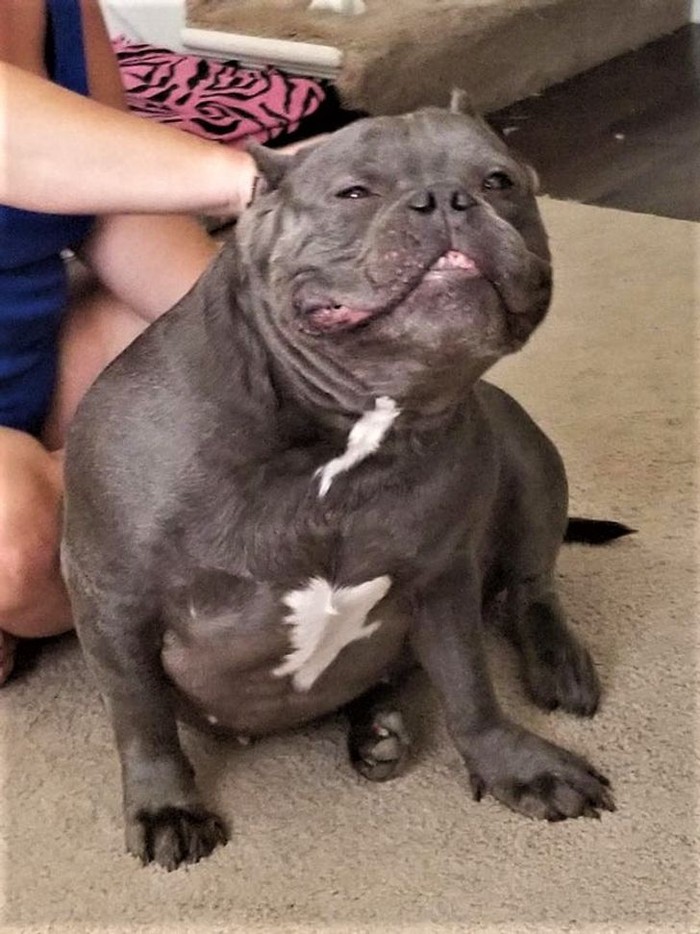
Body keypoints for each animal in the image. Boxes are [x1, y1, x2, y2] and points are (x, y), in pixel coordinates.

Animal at [62, 93, 625, 870]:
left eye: (499, 181)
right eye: (354, 193)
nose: (445, 200)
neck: (349, 425)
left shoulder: (441, 578)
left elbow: (471, 688)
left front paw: (516, 766)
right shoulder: (114, 602)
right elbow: (141, 716)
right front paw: (166, 806)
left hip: (529, 456)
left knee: (529, 586)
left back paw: (548, 666)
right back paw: (379, 723)